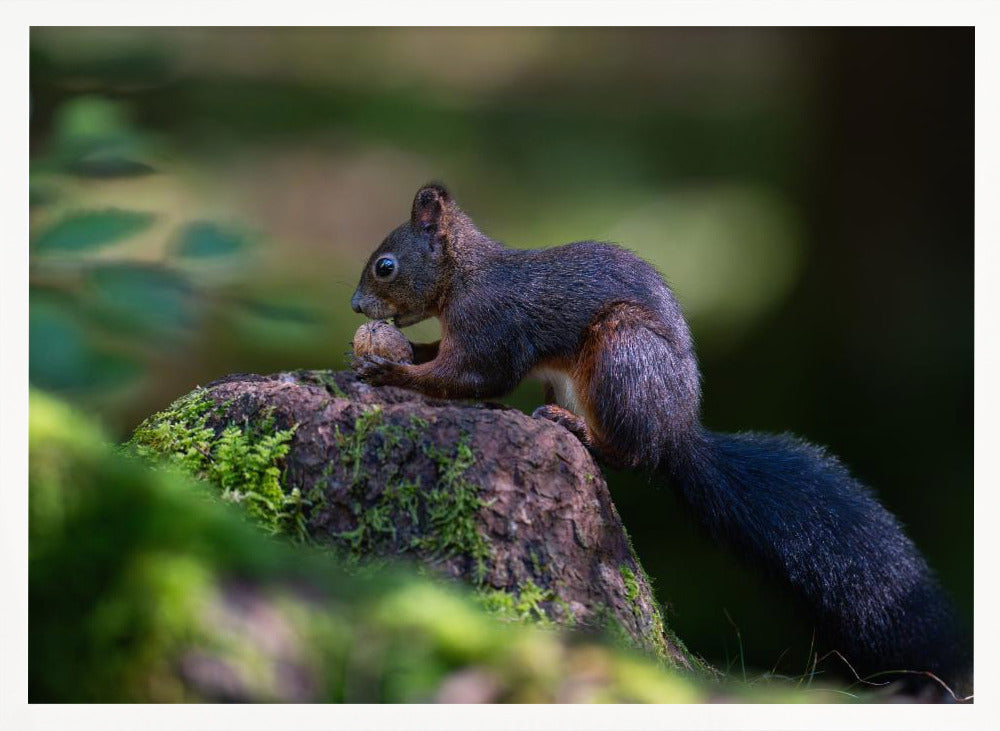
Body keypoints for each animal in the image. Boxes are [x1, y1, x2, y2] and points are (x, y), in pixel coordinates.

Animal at [350, 183, 970, 693]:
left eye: (385, 265)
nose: (355, 306)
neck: (465, 277)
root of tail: (678, 432)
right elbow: (446, 360)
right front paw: (387, 353)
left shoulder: (491, 327)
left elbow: (475, 377)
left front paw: (391, 372)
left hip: (622, 355)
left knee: (633, 455)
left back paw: (578, 429)